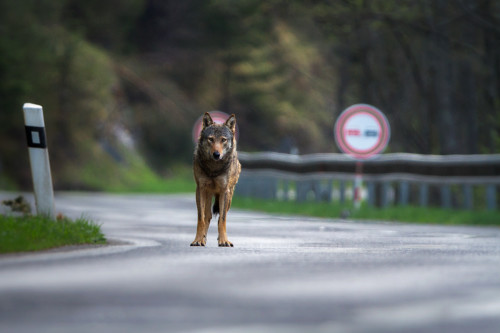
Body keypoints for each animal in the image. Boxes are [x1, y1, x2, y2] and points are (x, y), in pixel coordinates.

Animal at [191, 113, 240, 245]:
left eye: (223, 140)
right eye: (211, 139)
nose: (216, 154)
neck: (214, 169)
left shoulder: (224, 191)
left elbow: (222, 220)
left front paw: (224, 241)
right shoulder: (200, 189)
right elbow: (201, 218)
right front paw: (198, 240)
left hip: (229, 197)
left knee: (220, 216)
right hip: (208, 195)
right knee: (207, 216)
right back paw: (203, 239)